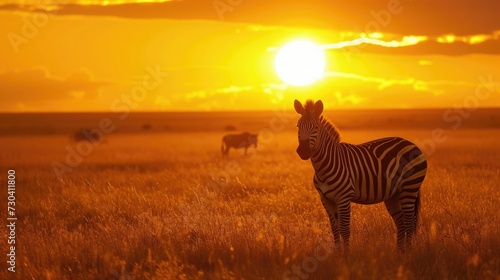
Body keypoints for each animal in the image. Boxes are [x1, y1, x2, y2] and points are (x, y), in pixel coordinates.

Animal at [294, 99, 428, 253]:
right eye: (298, 126)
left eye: (315, 127)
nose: (303, 151)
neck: (324, 166)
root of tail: (411, 144)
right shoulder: (326, 199)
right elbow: (335, 229)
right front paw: (338, 255)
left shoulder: (344, 197)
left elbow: (345, 230)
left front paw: (346, 256)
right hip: (393, 195)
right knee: (401, 223)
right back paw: (400, 253)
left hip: (409, 188)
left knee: (410, 222)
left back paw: (408, 253)